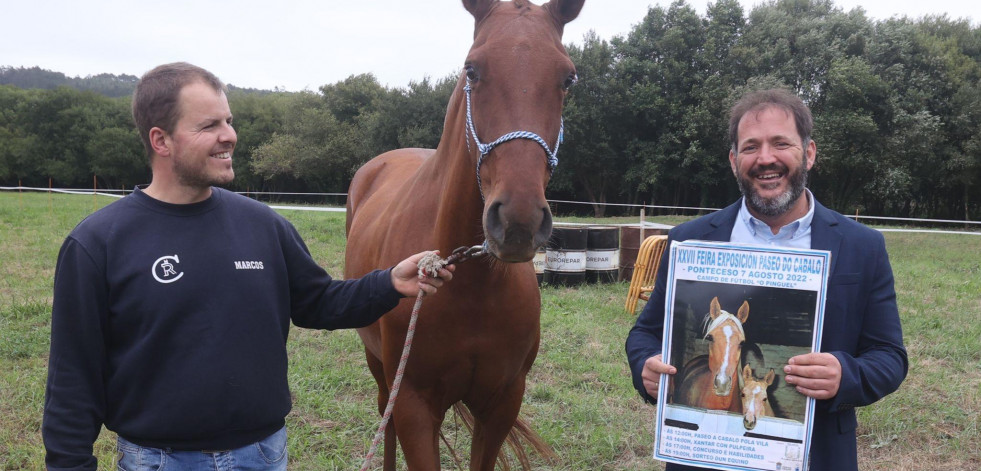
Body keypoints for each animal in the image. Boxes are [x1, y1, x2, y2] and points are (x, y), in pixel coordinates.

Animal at [342, 1, 580, 470]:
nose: (519, 221)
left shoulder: (502, 404)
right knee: (385, 422)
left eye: (567, 78)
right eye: (472, 69)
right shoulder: (413, 405)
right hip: (380, 369)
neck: (474, 287)